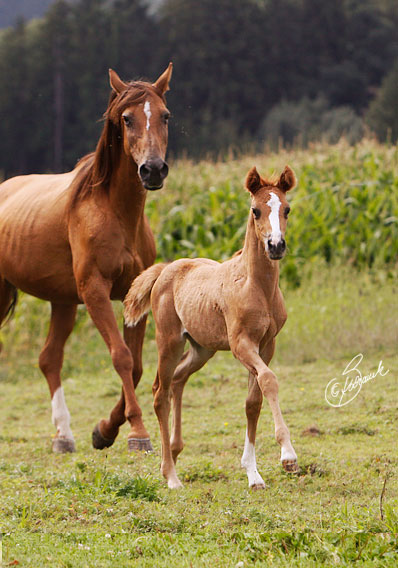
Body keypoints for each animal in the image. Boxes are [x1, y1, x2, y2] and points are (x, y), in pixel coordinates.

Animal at [0, 63, 173, 452]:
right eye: (126, 118)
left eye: (166, 116)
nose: (153, 169)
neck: (115, 213)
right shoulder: (95, 292)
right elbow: (121, 357)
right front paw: (137, 433)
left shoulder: (132, 296)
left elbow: (136, 366)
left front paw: (105, 430)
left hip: (62, 302)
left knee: (49, 359)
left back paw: (63, 436)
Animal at [124, 164, 298, 488]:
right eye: (255, 210)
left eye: (287, 209)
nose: (276, 246)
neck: (256, 286)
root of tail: (164, 269)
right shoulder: (241, 343)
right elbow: (269, 380)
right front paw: (287, 456)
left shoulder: (266, 344)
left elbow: (253, 401)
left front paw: (253, 473)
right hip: (169, 341)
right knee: (159, 393)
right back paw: (170, 475)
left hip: (201, 349)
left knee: (179, 380)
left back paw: (174, 452)